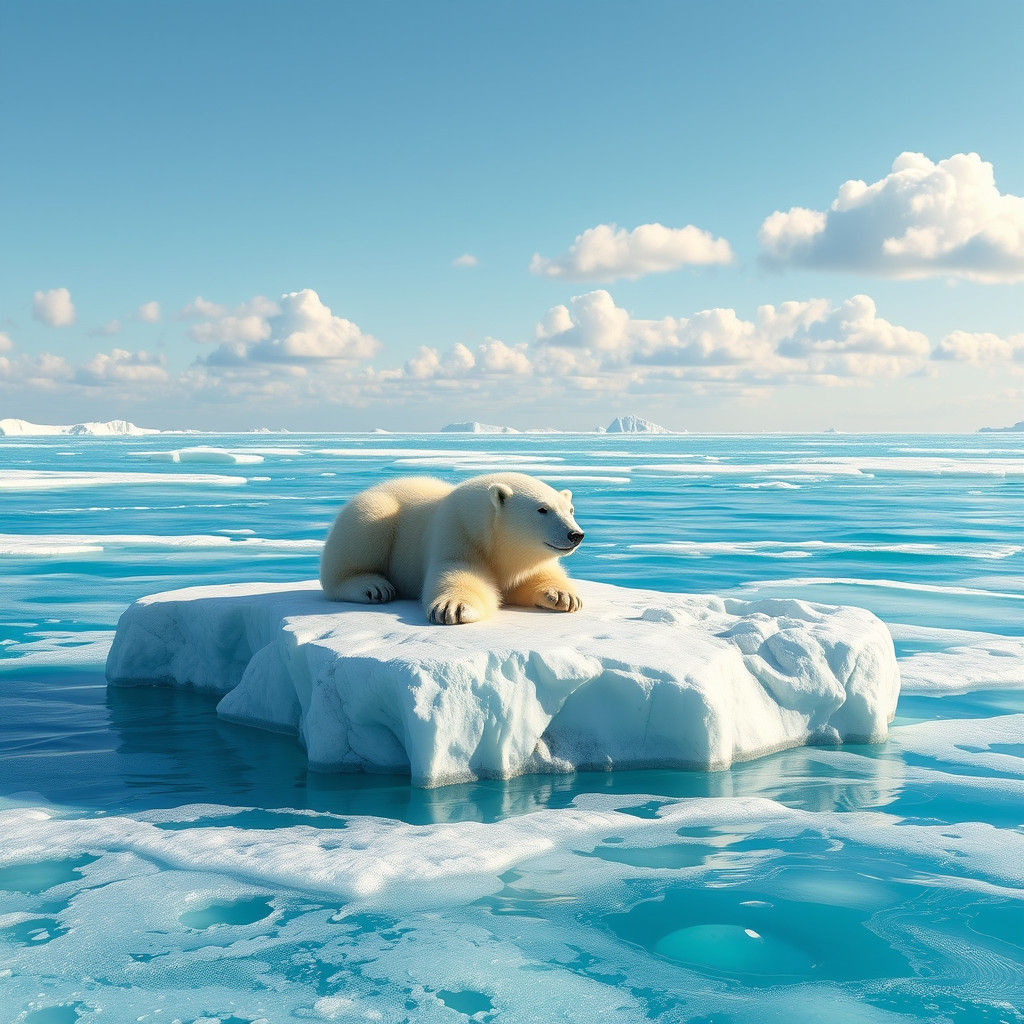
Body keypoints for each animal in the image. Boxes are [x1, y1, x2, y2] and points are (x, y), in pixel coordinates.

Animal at [319, 472, 585, 625]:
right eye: (542, 509)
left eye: (570, 510)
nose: (575, 535)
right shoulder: (457, 532)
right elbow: (459, 571)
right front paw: (454, 608)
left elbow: (532, 578)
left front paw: (563, 596)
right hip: (374, 513)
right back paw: (372, 587)